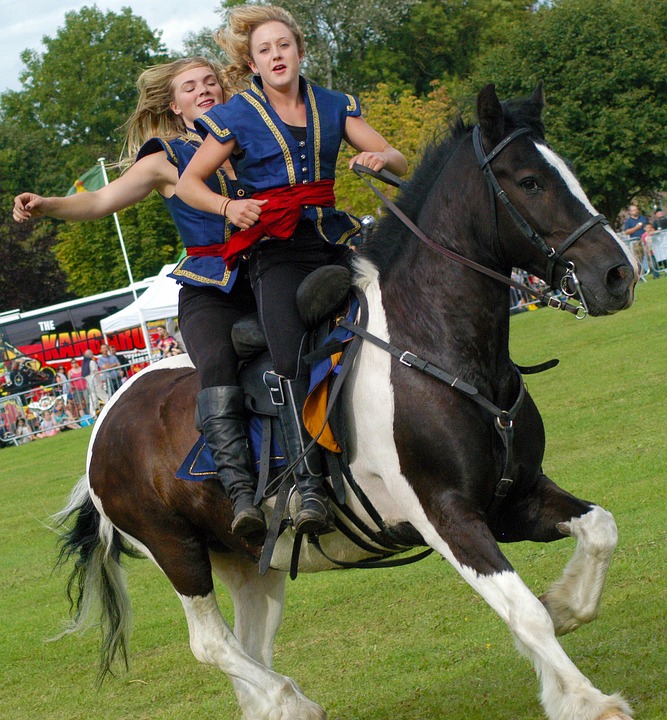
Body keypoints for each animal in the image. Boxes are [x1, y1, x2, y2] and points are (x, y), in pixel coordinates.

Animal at [56, 86, 636, 720]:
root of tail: (106, 418)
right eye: (530, 181)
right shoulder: (447, 514)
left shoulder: (515, 497)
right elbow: (525, 612)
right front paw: (587, 700)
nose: (618, 274)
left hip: (250, 559)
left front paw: (567, 609)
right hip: (178, 551)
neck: (433, 345)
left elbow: (599, 531)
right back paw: (291, 701)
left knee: (248, 647)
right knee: (212, 644)